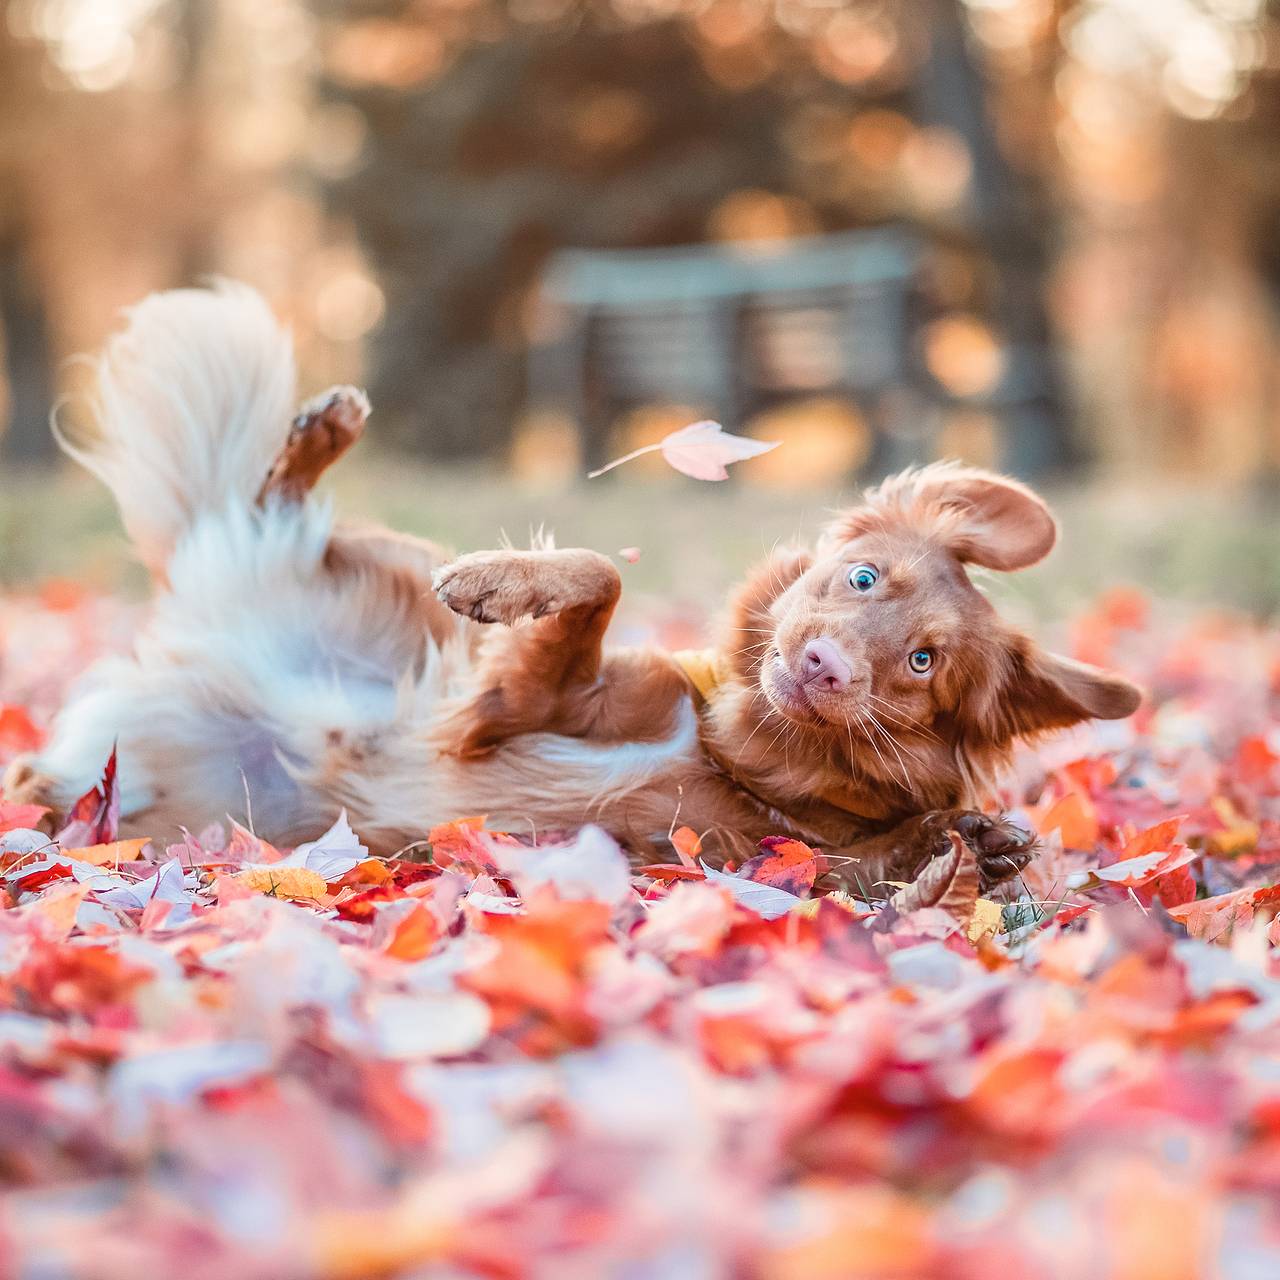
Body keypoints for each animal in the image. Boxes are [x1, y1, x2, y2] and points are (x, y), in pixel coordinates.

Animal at [0, 284, 1141, 896]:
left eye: (920, 663)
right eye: (862, 576)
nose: (821, 664)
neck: (734, 753)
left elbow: (893, 863)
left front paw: (977, 851)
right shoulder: (521, 702)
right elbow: (595, 575)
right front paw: (497, 584)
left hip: (151, 800)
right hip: (386, 569)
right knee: (273, 505)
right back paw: (321, 430)